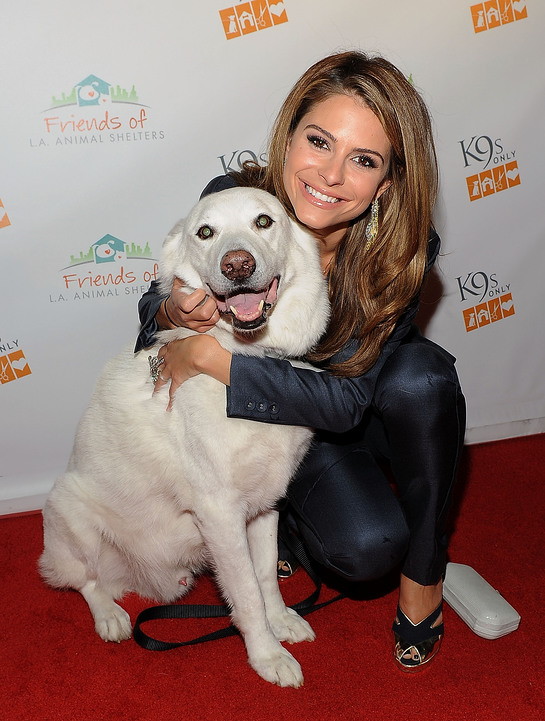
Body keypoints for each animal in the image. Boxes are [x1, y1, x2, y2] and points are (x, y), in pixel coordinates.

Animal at [40, 186, 330, 688]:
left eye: (264, 221)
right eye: (205, 232)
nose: (238, 265)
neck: (247, 363)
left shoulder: (264, 505)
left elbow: (266, 576)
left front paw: (281, 621)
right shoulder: (220, 515)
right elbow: (246, 593)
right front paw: (266, 655)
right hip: (69, 509)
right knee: (87, 581)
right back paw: (110, 617)